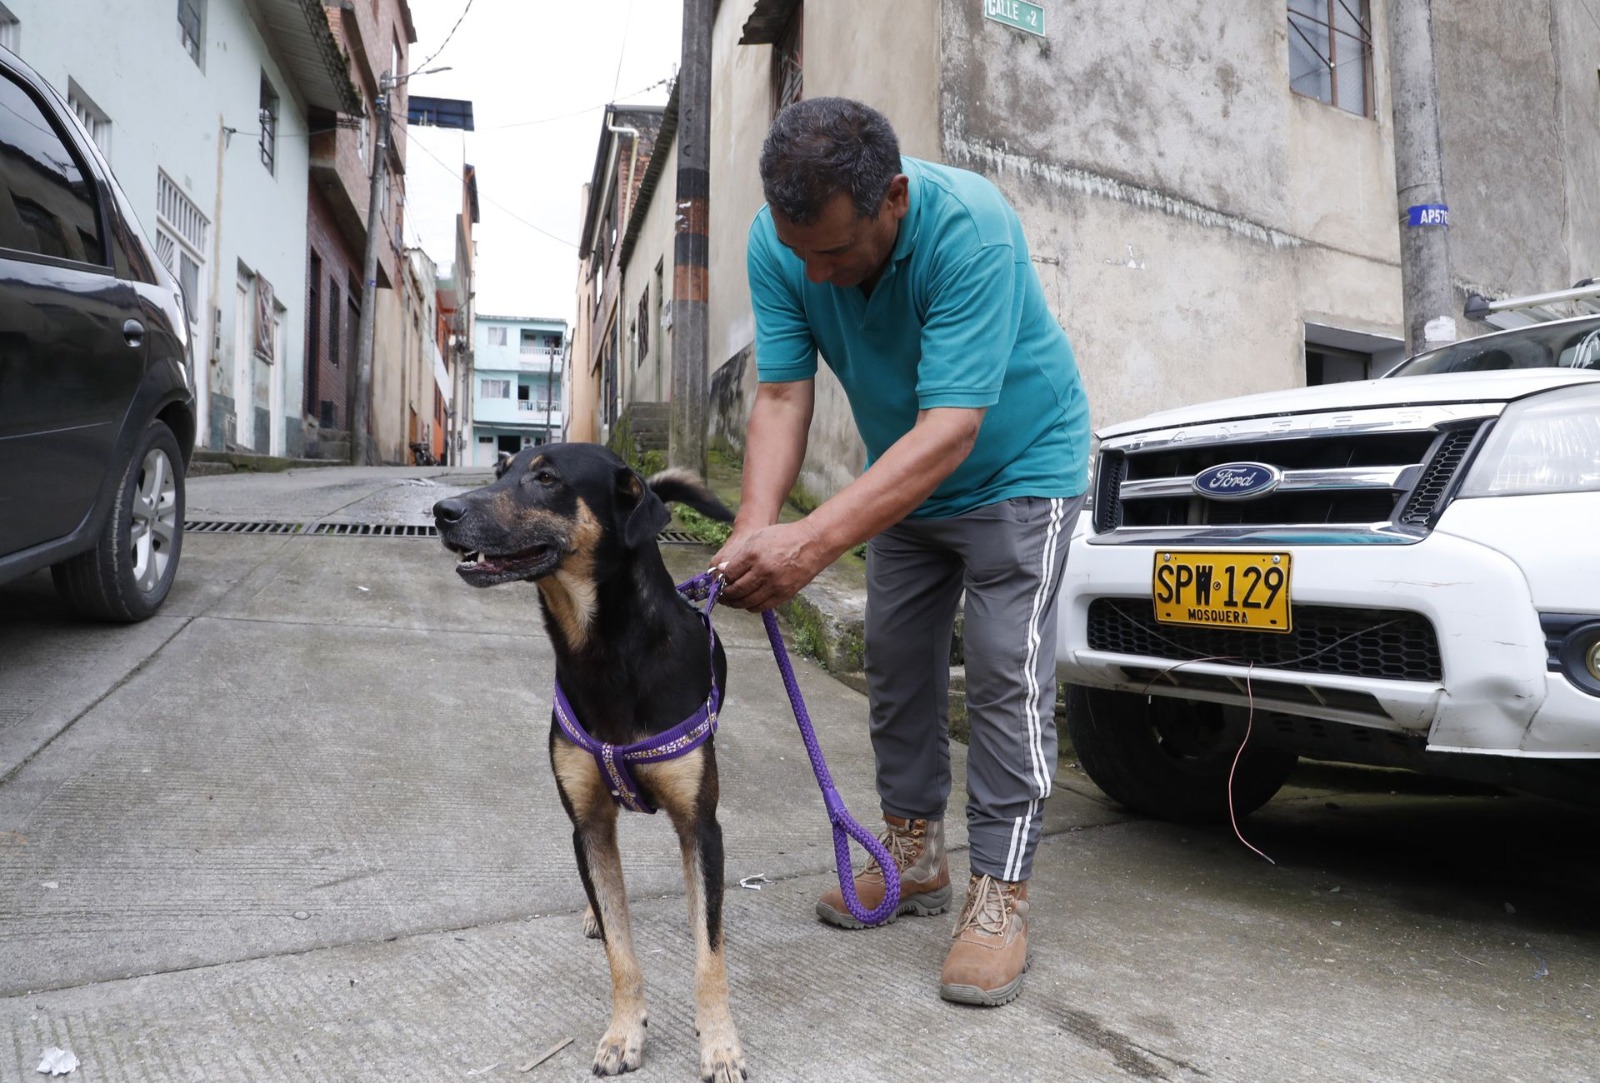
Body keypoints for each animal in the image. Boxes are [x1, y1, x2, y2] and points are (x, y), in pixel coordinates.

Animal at [428, 441, 745, 1081]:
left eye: (547, 478)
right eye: (499, 471)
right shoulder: (588, 824)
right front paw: (624, 1033)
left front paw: (721, 1043)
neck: (604, 651)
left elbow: (710, 952)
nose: (442, 511)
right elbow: (621, 954)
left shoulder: (701, 822)